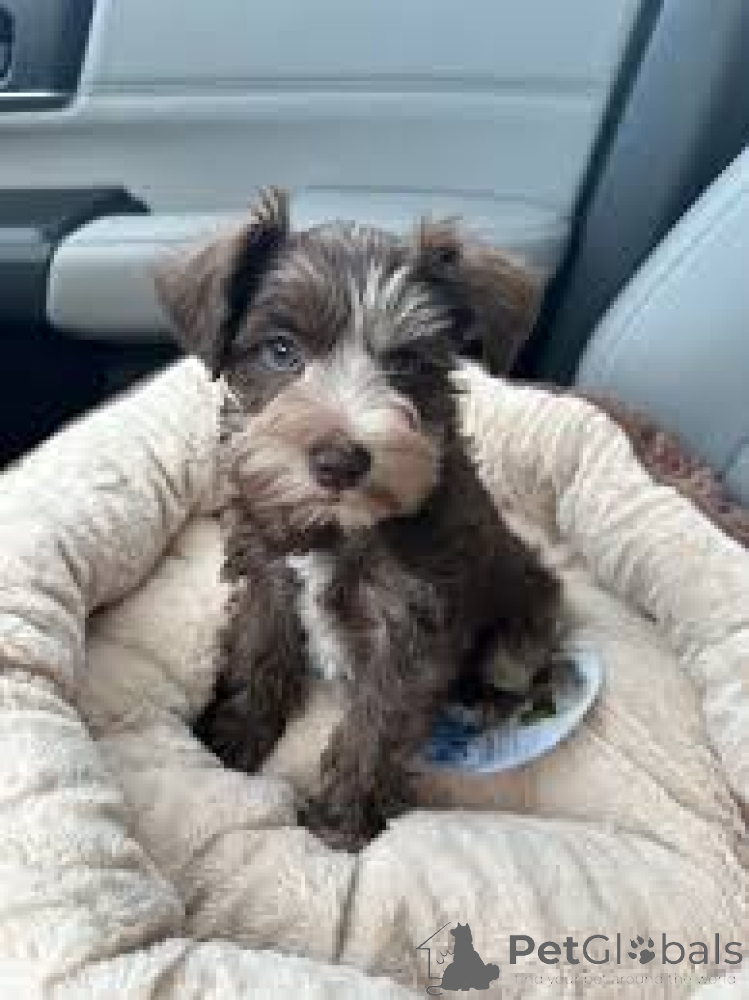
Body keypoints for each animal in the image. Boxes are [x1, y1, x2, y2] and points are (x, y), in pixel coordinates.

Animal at [155, 187, 566, 851]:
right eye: (281, 350)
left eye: (406, 362)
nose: (340, 460)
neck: (340, 529)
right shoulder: (266, 578)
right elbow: (257, 655)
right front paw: (234, 738)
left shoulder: (409, 628)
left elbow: (374, 729)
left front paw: (338, 827)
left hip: (523, 625)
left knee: (511, 672)